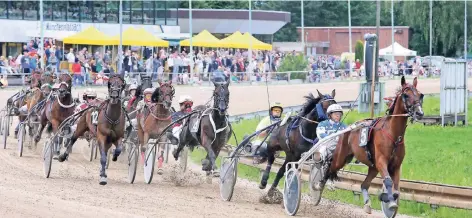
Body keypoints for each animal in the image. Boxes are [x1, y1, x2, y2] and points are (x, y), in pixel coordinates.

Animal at [324, 77, 424, 215]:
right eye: (406, 95)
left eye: (420, 95)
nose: (419, 113)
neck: (393, 135)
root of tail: (348, 128)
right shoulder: (382, 161)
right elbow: (388, 181)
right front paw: (389, 201)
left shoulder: (396, 165)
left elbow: (396, 187)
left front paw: (390, 199)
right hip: (341, 157)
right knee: (330, 168)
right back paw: (321, 186)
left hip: (373, 167)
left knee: (364, 185)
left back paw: (367, 204)